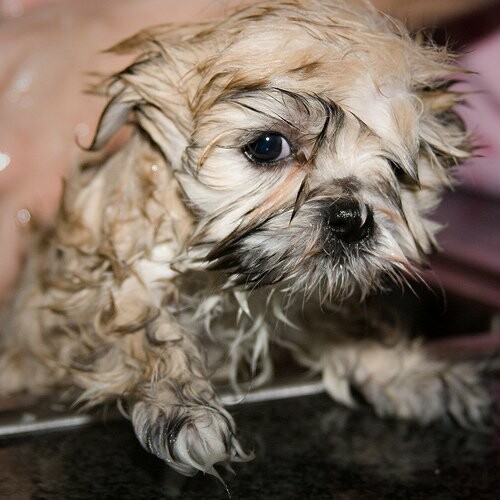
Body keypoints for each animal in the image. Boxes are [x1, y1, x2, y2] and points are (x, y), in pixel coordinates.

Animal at [0, 0, 492, 476]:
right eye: (268, 146)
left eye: (397, 169)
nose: (352, 219)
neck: (217, 276)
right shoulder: (85, 292)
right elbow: (141, 326)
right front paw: (181, 407)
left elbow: (344, 320)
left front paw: (406, 372)